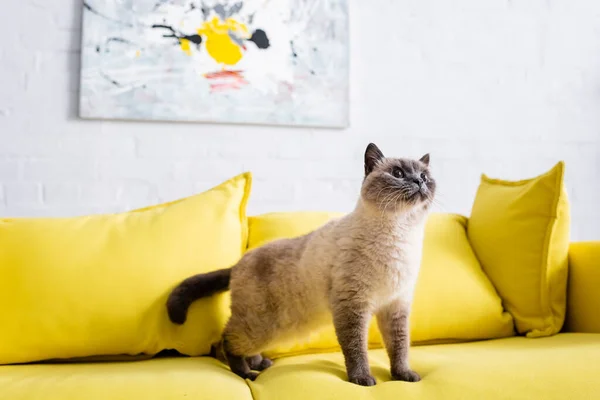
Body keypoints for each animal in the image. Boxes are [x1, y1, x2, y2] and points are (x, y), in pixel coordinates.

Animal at [168, 143, 436, 384]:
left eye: (425, 176)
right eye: (398, 173)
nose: (419, 182)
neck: (401, 233)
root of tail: (240, 261)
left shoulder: (395, 307)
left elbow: (399, 347)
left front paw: (403, 376)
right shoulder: (352, 305)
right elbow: (356, 349)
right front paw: (362, 379)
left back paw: (259, 363)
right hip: (261, 326)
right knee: (225, 341)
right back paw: (246, 374)